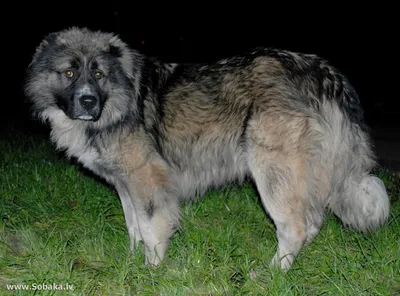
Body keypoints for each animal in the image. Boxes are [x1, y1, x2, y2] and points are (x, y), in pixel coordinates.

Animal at [23, 26, 390, 270]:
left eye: (98, 74)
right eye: (69, 73)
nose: (88, 101)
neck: (119, 99)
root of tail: (324, 74)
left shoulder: (147, 181)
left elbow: (151, 229)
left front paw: (150, 270)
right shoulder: (126, 185)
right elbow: (133, 227)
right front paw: (131, 261)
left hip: (273, 172)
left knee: (296, 226)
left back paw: (272, 274)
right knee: (312, 221)